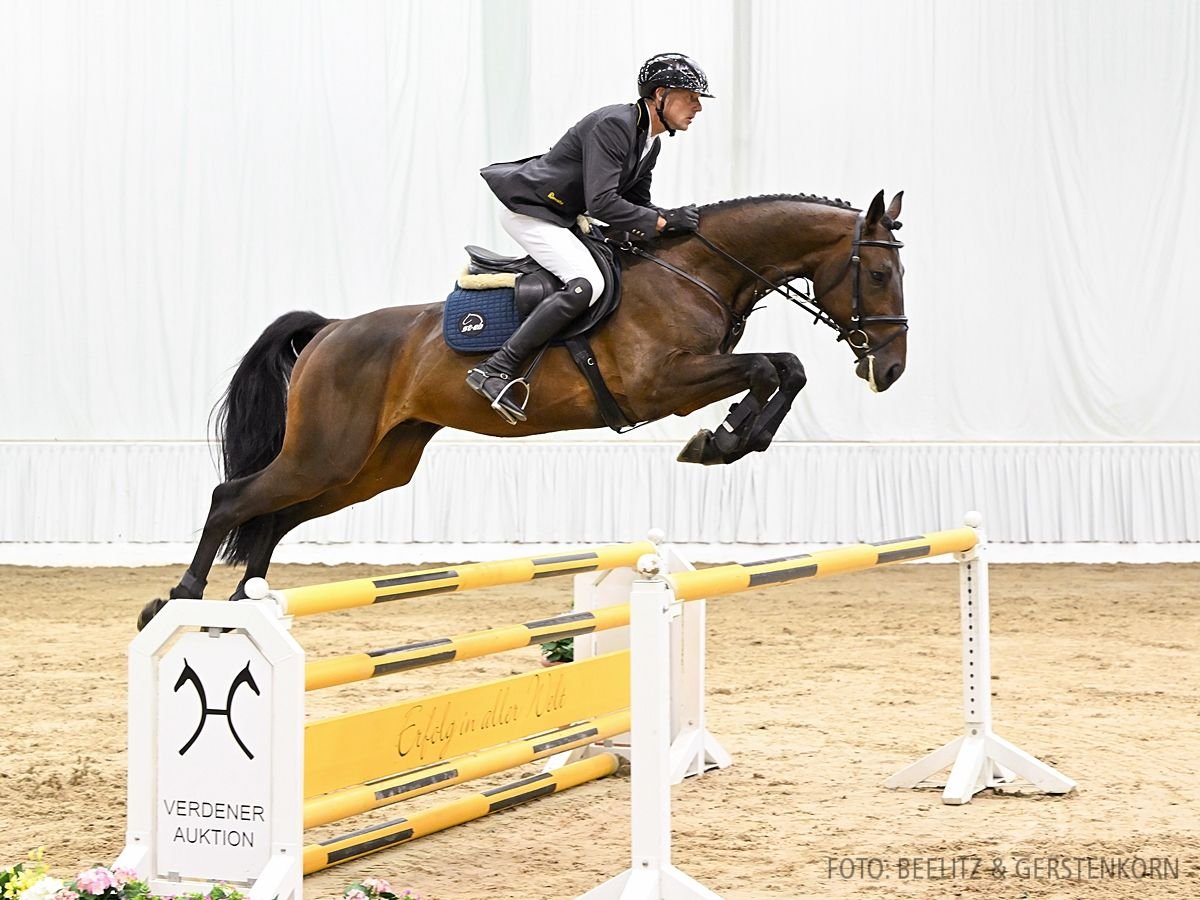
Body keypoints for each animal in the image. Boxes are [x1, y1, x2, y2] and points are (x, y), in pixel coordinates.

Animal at [136, 190, 902, 628]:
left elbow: (785, 368)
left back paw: (245, 604)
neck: (696, 271)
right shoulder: (662, 384)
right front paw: (721, 439)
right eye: (879, 272)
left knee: (274, 516)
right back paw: (177, 598)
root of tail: (330, 330)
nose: (890, 370)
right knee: (233, 497)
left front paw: (731, 438)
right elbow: (775, 366)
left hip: (370, 467)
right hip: (325, 453)